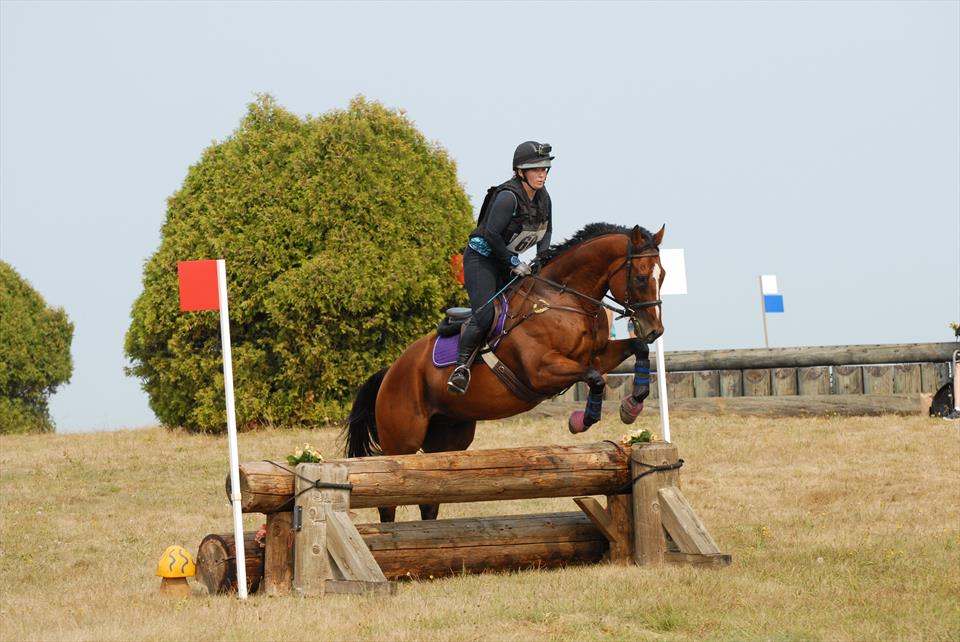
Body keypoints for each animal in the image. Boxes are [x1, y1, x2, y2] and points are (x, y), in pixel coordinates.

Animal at [343, 222, 666, 522]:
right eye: (640, 277)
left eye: (661, 276)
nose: (655, 330)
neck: (563, 301)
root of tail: (391, 372)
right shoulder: (540, 371)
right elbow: (594, 378)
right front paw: (581, 421)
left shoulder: (597, 355)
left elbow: (636, 349)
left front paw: (633, 404)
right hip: (402, 440)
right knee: (388, 498)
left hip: (448, 437)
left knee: (429, 497)